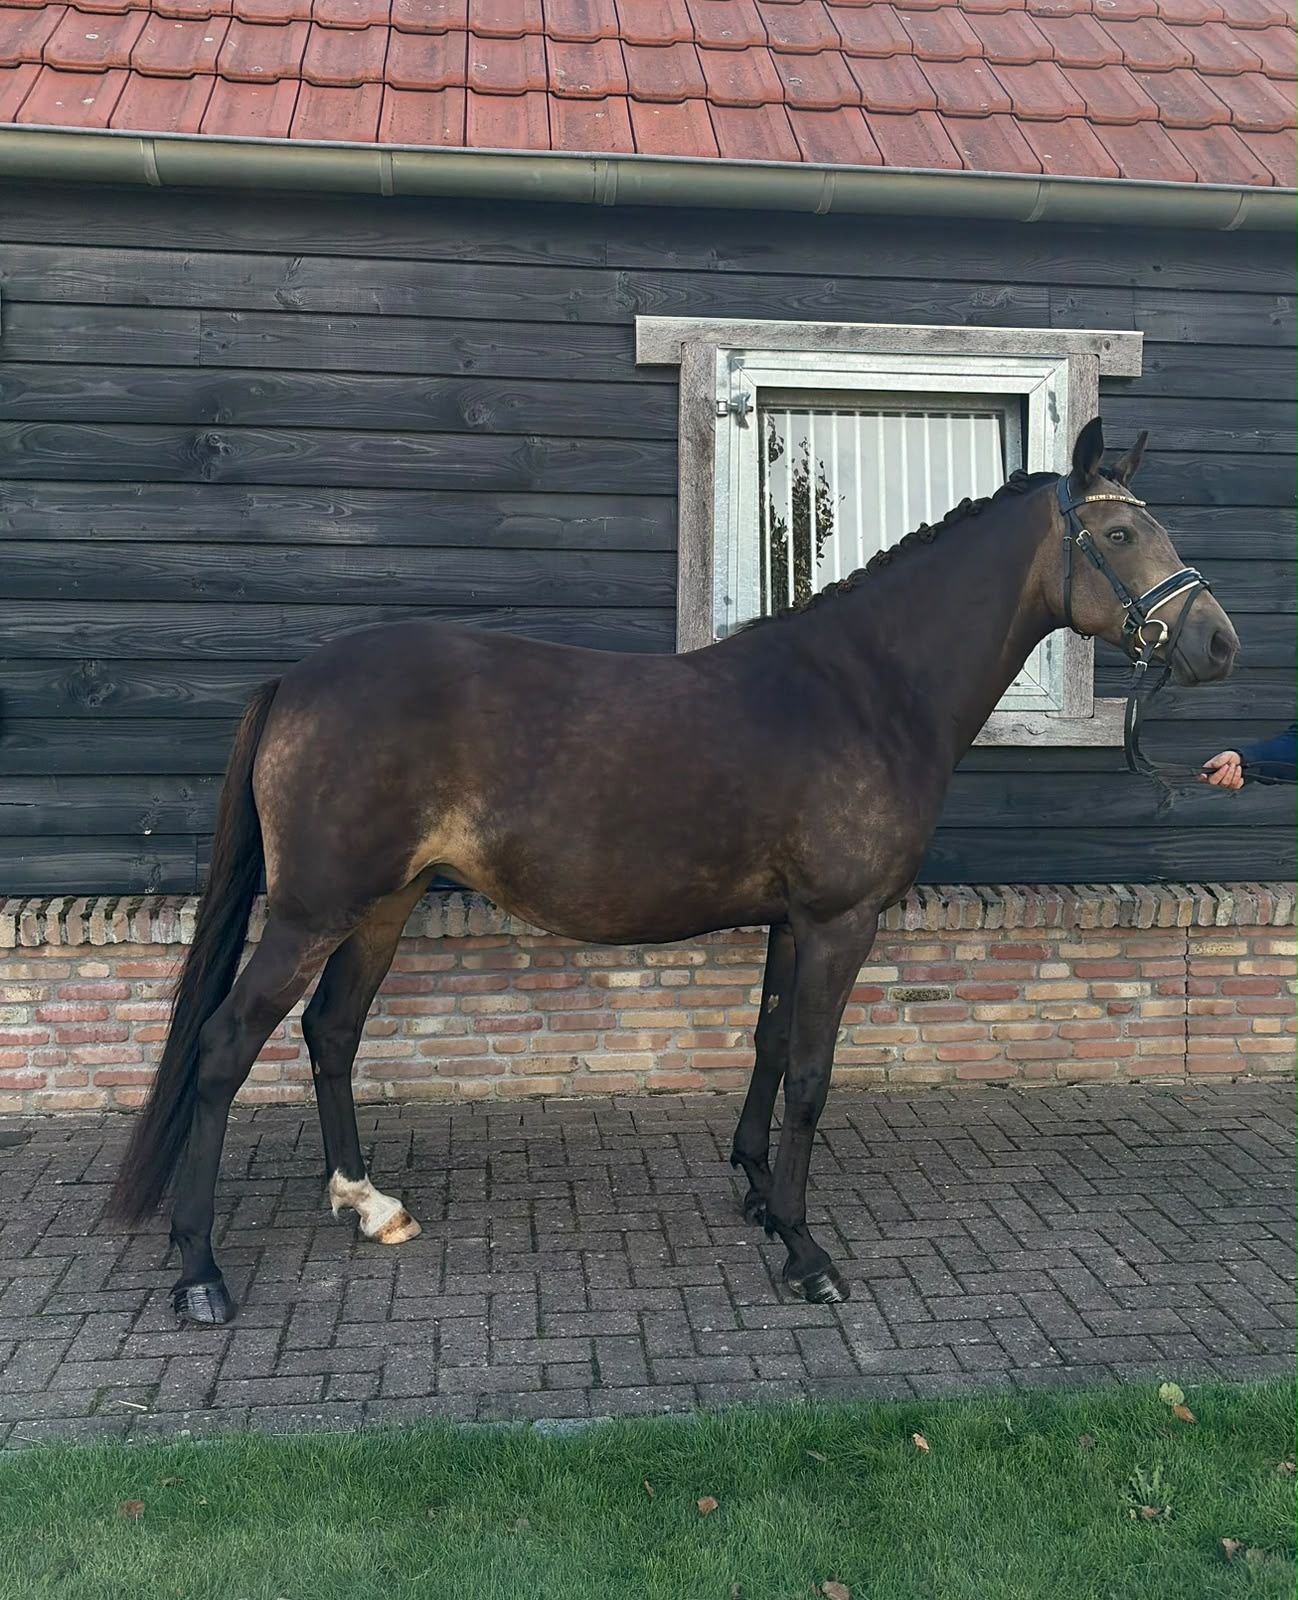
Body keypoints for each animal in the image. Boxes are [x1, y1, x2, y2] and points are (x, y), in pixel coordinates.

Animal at [110, 417, 1239, 1325]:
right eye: (1121, 535)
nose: (1218, 644)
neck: (865, 688)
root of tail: (295, 680)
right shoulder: (842, 920)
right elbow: (811, 1076)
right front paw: (806, 1251)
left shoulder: (794, 919)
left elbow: (770, 1045)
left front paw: (757, 1198)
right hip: (314, 910)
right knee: (225, 1046)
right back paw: (201, 1270)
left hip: (380, 903)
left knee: (331, 1031)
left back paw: (367, 1201)